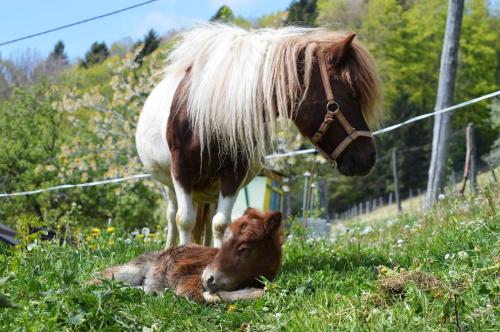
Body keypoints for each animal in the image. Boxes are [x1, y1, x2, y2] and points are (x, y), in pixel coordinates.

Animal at [91, 209, 284, 302]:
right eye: (223, 244)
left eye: (243, 249)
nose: (208, 278)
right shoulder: (188, 280)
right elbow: (202, 296)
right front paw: (255, 292)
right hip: (128, 272)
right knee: (98, 278)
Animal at [135, 22, 380, 246]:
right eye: (351, 95)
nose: (368, 157)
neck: (211, 113)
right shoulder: (181, 170)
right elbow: (184, 219)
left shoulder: (233, 173)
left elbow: (220, 224)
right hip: (168, 183)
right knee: (172, 214)